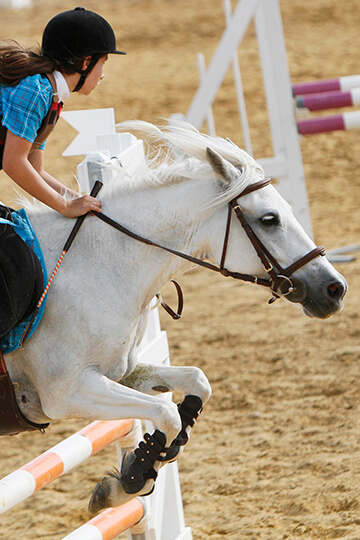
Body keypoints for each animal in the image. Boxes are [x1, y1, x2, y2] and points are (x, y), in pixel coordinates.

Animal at [2, 118, 346, 510]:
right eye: (269, 219)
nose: (335, 289)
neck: (100, 262)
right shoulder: (65, 391)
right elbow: (165, 413)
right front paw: (131, 478)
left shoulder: (119, 373)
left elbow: (196, 382)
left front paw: (139, 467)